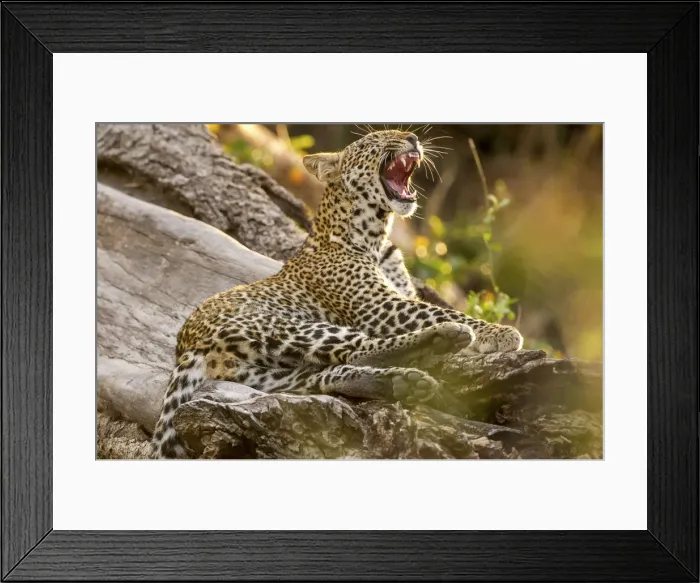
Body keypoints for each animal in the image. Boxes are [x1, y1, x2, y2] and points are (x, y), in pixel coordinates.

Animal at [151, 129, 523, 459]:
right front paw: (497, 332)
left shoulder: (395, 295)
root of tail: (185, 346)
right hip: (285, 327)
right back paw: (442, 339)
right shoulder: (378, 306)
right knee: (360, 348)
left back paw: (400, 383)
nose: (413, 138)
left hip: (270, 373)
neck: (377, 235)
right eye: (375, 139)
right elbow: (441, 310)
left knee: (331, 371)